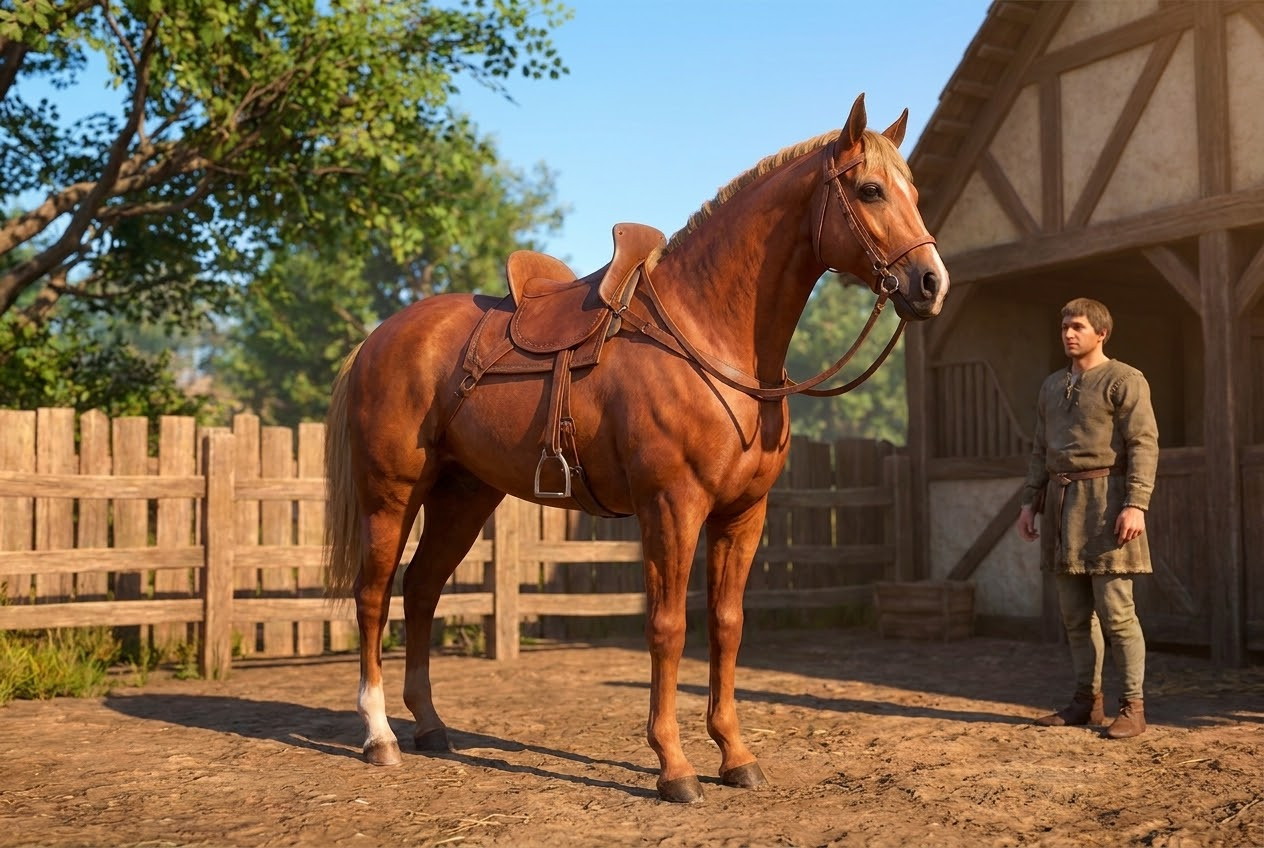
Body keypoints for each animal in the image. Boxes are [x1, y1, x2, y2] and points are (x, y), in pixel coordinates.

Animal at [324, 93, 949, 803]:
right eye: (871, 189)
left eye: (913, 191)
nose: (931, 283)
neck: (708, 336)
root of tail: (378, 339)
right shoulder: (671, 508)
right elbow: (669, 627)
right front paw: (673, 766)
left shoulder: (743, 515)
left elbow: (726, 624)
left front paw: (735, 755)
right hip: (391, 495)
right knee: (374, 595)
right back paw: (379, 737)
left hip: (464, 498)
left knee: (422, 589)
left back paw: (430, 726)